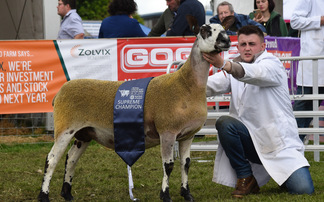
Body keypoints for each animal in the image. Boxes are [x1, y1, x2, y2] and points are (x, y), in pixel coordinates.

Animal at [37, 22, 230, 202]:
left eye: (223, 29)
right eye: (205, 30)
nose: (226, 41)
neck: (186, 85)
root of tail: (59, 93)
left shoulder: (187, 135)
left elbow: (186, 164)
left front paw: (187, 194)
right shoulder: (167, 132)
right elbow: (168, 165)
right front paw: (165, 195)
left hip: (84, 133)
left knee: (71, 159)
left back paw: (67, 193)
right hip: (65, 128)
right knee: (51, 159)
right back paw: (44, 195)